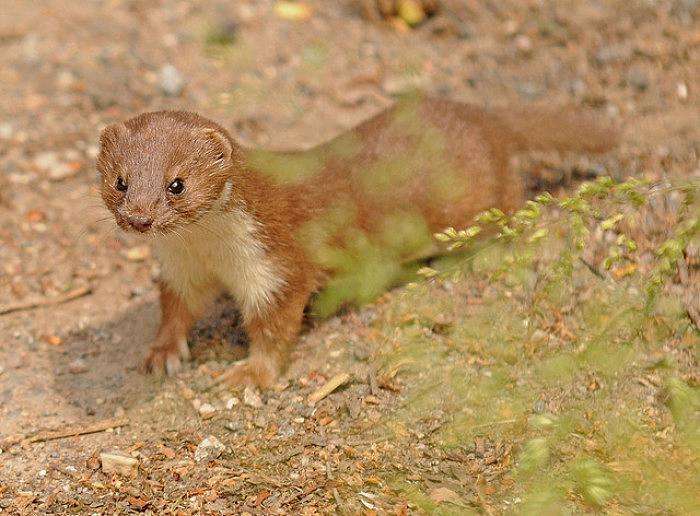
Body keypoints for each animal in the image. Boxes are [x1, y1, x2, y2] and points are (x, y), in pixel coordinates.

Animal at [97, 92, 616, 390]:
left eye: (177, 184)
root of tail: (482, 117)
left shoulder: (275, 263)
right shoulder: (183, 267)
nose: (139, 219)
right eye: (121, 181)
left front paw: (250, 376)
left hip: (480, 199)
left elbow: (275, 326)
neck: (210, 251)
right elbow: (176, 306)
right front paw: (162, 353)